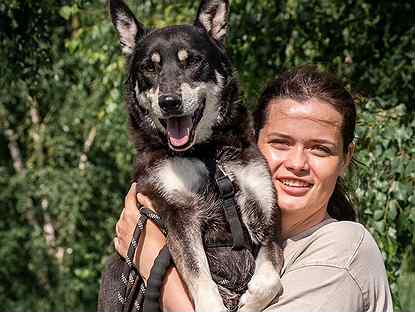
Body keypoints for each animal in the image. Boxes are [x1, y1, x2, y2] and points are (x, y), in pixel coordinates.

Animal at [99, 1, 284, 310]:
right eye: (149, 67)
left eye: (192, 61)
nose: (169, 102)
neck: (207, 154)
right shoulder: (179, 214)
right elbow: (200, 275)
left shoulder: (264, 219)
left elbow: (270, 278)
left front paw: (250, 301)